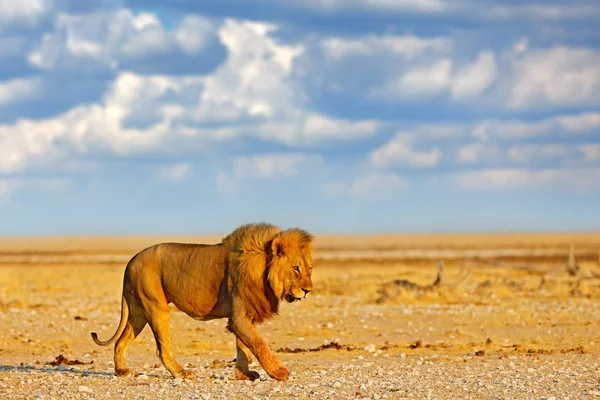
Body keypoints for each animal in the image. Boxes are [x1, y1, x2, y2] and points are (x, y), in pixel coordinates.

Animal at [90, 222, 314, 382]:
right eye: (296, 268)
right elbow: (258, 344)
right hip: (155, 305)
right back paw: (181, 373)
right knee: (161, 348)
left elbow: (243, 346)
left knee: (121, 340)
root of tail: (132, 259)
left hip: (138, 309)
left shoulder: (245, 315)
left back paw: (121, 371)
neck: (263, 269)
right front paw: (279, 372)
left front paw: (243, 375)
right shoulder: (239, 317)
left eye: (309, 269)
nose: (308, 291)